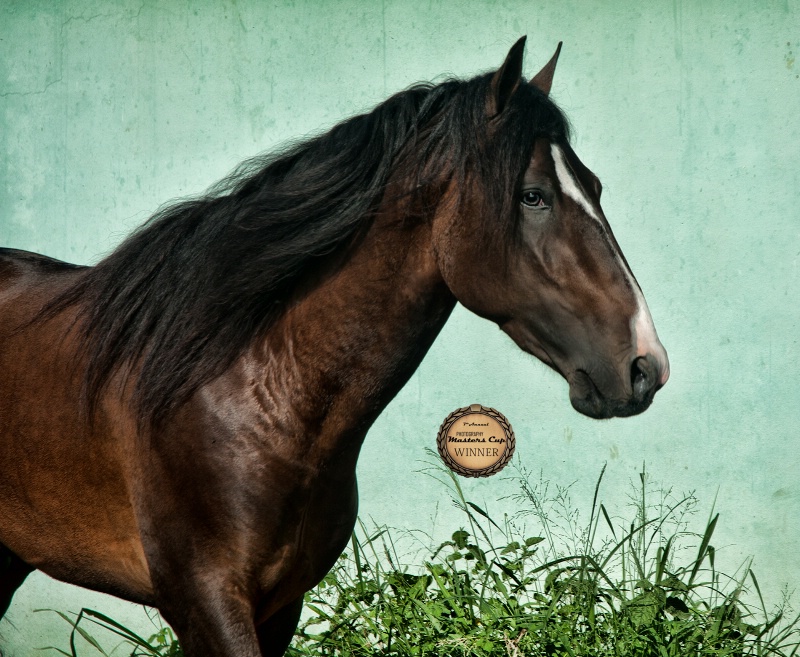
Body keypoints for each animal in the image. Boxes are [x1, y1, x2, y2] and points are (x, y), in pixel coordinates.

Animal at [0, 38, 668, 652]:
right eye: (533, 195)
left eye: (595, 186)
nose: (646, 367)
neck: (246, 389)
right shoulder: (203, 604)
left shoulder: (281, 606)